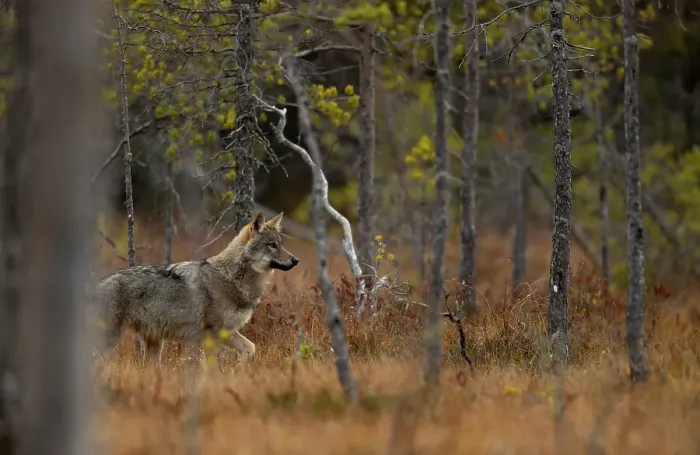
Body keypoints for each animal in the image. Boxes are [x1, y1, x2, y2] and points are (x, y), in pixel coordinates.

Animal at [87, 211, 299, 364]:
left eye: (281, 245)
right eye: (271, 245)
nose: (296, 260)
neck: (233, 279)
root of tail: (95, 282)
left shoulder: (228, 332)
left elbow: (250, 348)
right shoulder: (211, 333)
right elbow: (213, 365)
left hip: (154, 344)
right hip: (111, 339)